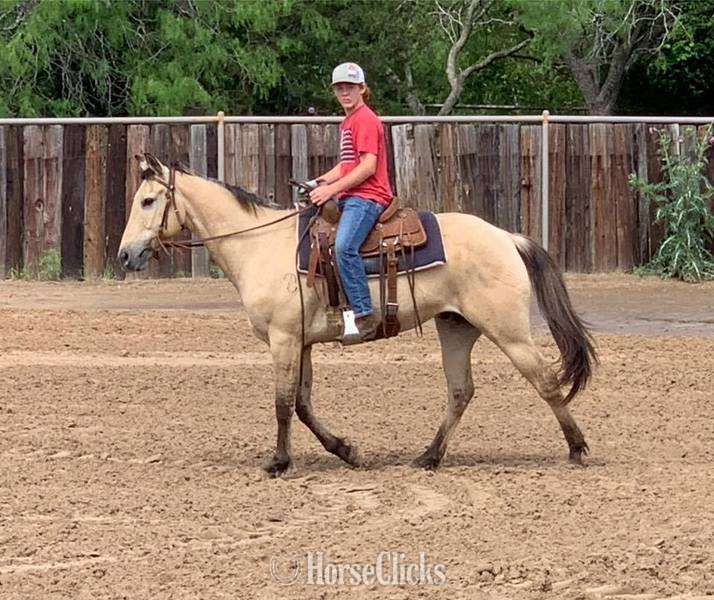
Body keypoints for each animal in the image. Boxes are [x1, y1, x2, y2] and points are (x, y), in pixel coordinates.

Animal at [118, 153, 597, 477]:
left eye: (148, 201)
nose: (125, 255)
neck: (260, 245)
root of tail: (508, 237)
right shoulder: (301, 342)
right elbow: (303, 404)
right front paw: (347, 451)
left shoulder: (283, 338)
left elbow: (282, 403)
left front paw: (278, 462)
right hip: (456, 328)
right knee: (461, 391)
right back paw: (429, 456)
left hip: (509, 331)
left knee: (545, 380)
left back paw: (576, 448)